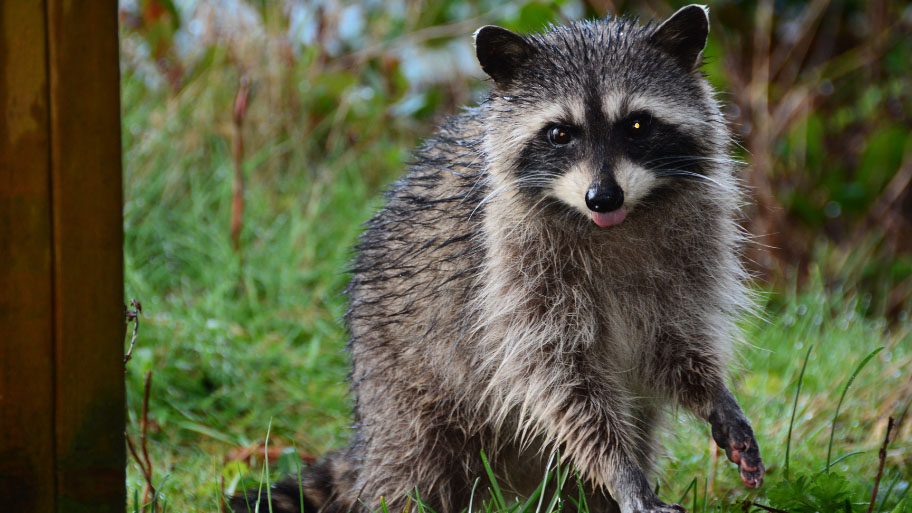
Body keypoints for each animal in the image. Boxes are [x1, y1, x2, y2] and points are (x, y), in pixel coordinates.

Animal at [233, 5, 764, 512]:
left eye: (637, 125)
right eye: (559, 134)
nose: (603, 198)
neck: (614, 224)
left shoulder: (691, 251)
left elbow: (673, 343)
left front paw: (713, 395)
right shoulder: (512, 273)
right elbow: (560, 380)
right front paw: (620, 470)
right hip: (402, 387)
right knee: (413, 469)